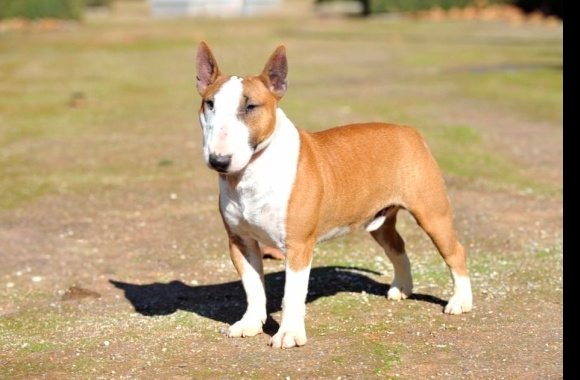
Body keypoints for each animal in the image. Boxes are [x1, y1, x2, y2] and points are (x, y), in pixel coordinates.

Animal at [195, 40, 472, 348]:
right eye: (210, 104)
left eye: (251, 106)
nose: (219, 160)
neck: (252, 171)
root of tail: (409, 131)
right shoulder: (240, 242)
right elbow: (253, 288)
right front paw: (250, 324)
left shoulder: (298, 245)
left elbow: (292, 294)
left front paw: (289, 334)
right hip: (379, 221)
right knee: (397, 246)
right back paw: (401, 287)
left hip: (432, 213)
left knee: (454, 251)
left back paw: (460, 301)